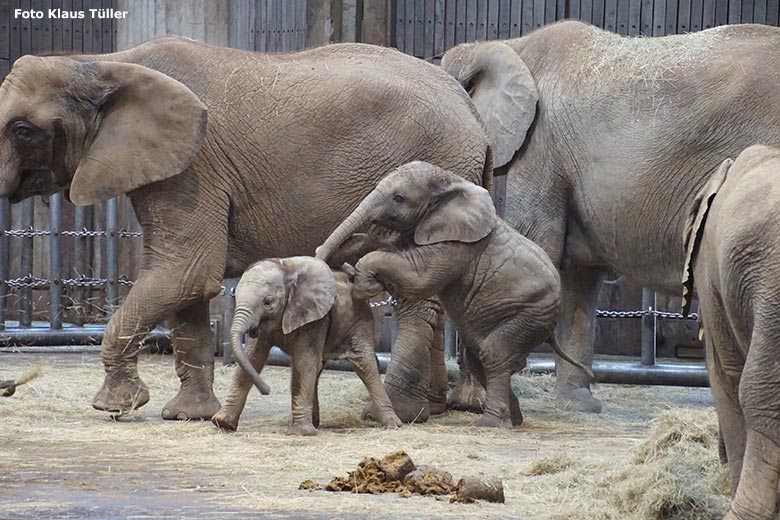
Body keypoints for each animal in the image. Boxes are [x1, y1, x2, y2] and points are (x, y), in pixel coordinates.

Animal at [212, 256, 402, 434]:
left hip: (359, 317)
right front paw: (223, 423)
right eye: (236, 297)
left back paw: (392, 423)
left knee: (364, 363)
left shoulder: (314, 316)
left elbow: (303, 361)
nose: (267, 390)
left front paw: (302, 432)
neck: (286, 269)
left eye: (268, 302)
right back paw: (315, 422)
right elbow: (252, 359)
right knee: (318, 367)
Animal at [316, 161, 592, 426]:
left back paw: (490, 424)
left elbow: (419, 276)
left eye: (398, 198)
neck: (449, 182)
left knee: (494, 353)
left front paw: (365, 284)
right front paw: (349, 249)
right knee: (479, 358)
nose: (319, 254)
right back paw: (513, 420)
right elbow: (390, 247)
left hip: (532, 314)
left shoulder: (457, 245)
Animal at [442, 21, 780, 414]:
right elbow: (577, 276)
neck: (507, 45)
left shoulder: (541, 146)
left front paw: (473, 402)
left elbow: (536, 247)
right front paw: (577, 407)